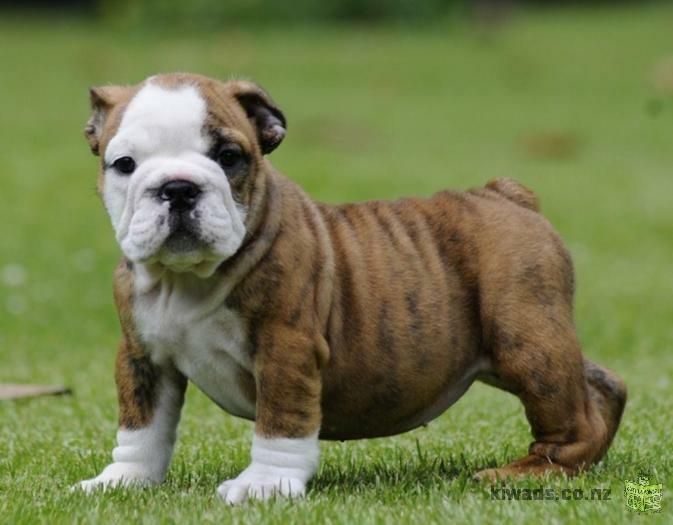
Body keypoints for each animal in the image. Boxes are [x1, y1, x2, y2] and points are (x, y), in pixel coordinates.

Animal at [77, 71, 624, 502]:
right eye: (124, 164)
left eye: (229, 156)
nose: (177, 188)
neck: (186, 279)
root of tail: (505, 195)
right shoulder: (142, 357)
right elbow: (141, 425)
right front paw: (124, 479)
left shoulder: (286, 350)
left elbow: (281, 420)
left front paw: (264, 485)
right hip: (525, 345)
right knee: (602, 386)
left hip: (526, 341)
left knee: (571, 418)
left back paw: (527, 473)